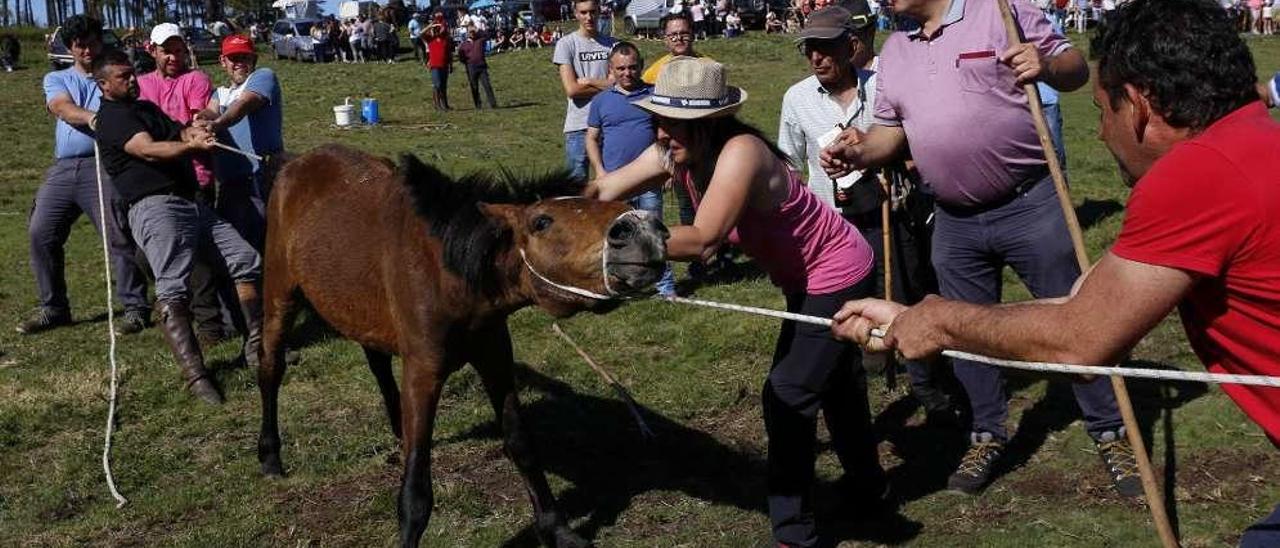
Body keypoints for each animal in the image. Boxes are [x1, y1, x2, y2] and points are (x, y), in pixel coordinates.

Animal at [256, 143, 665, 545]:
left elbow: (522, 444)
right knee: (270, 368)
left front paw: (557, 529)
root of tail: (295, 162)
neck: (448, 269)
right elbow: (416, 491)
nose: (642, 230)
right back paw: (270, 455)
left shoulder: (495, 355)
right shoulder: (423, 371)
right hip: (279, 295)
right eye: (541, 222)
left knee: (376, 361)